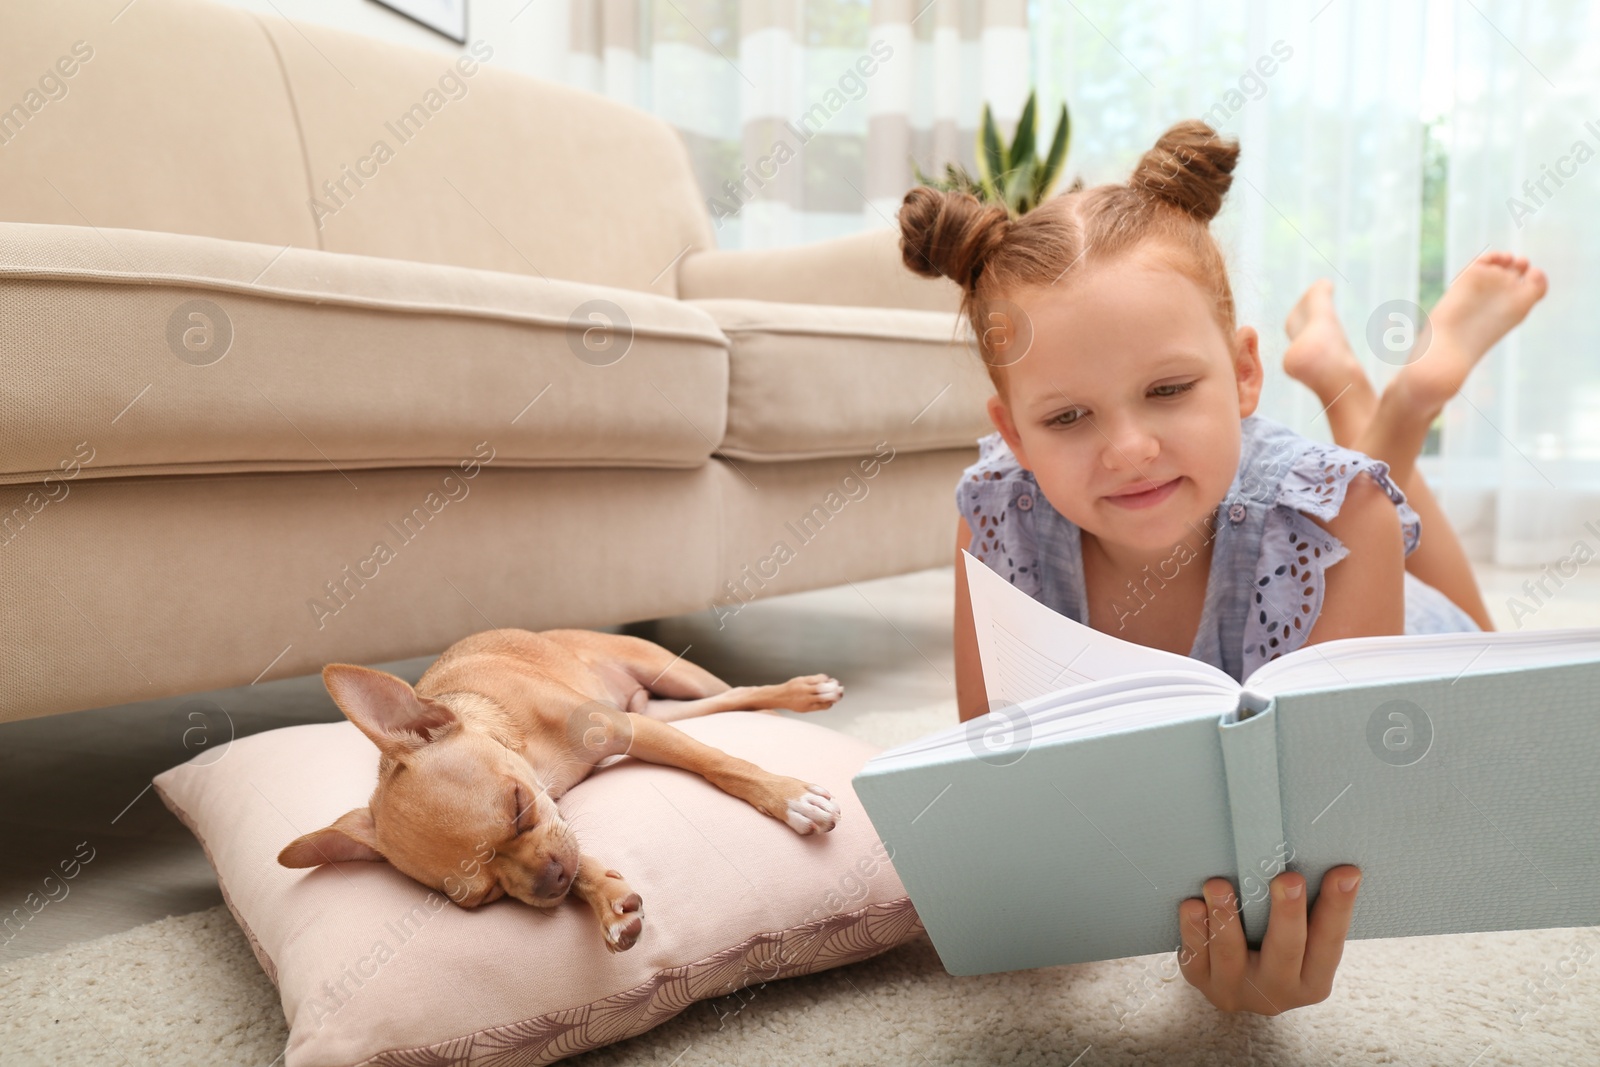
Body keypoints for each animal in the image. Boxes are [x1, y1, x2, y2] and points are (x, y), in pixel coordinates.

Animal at [280, 627, 844, 953]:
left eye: (517, 808)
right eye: (487, 897)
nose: (548, 882)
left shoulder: (627, 732)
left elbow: (718, 763)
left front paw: (789, 796)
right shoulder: (575, 809)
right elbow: (581, 859)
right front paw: (609, 902)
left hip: (672, 677)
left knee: (738, 691)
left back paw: (801, 694)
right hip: (663, 709)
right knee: (728, 701)